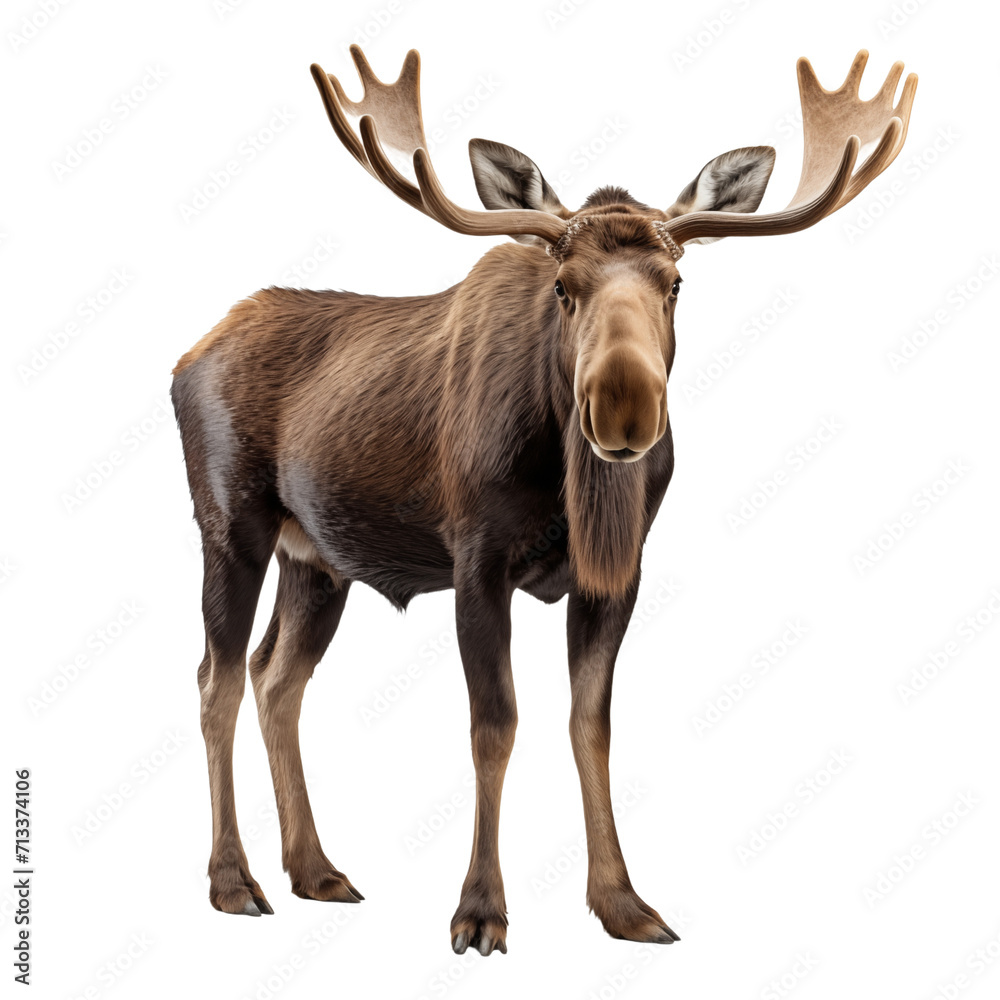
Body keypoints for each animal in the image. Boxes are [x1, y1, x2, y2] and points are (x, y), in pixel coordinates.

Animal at [171, 45, 916, 955]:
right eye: (564, 283)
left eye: (676, 282)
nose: (624, 407)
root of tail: (188, 354)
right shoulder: (476, 559)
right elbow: (495, 725)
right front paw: (479, 911)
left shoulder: (616, 573)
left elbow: (589, 724)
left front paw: (625, 904)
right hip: (229, 526)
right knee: (216, 680)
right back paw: (234, 882)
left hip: (316, 558)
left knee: (278, 678)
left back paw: (315, 870)